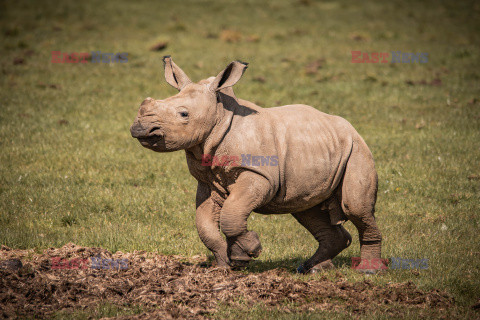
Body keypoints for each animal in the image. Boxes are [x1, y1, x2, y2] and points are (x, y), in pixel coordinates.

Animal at [129, 57, 384, 272]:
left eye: (183, 114)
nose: (139, 128)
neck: (219, 119)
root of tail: (350, 127)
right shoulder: (209, 180)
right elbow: (206, 224)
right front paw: (226, 266)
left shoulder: (258, 174)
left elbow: (232, 213)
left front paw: (248, 252)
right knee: (306, 209)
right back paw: (313, 269)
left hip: (356, 149)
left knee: (355, 207)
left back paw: (368, 271)